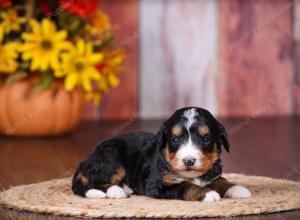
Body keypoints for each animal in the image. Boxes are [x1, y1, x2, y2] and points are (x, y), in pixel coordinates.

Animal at [72, 107, 251, 202]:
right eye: (175, 139)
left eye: (205, 139)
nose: (189, 161)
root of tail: (84, 162)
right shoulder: (157, 184)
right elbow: (185, 185)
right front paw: (207, 193)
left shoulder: (213, 173)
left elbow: (221, 180)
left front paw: (237, 189)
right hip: (111, 155)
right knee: (96, 182)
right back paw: (117, 191)